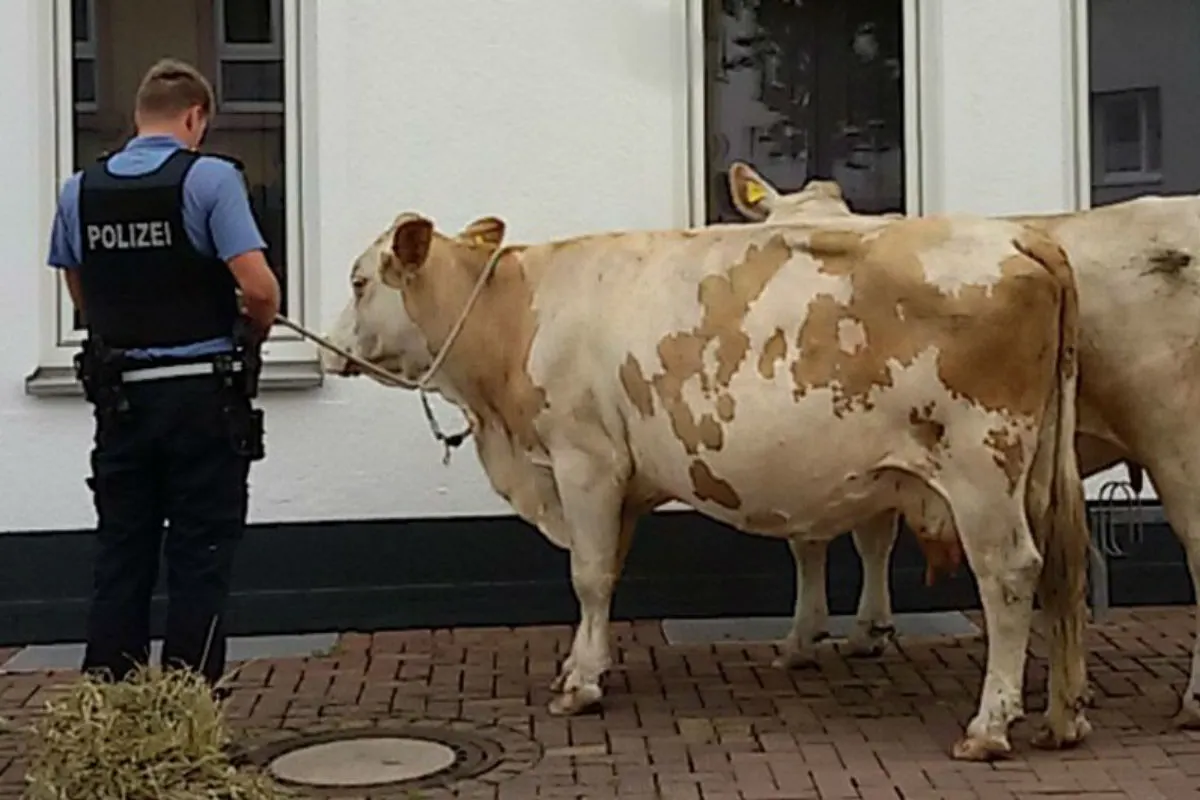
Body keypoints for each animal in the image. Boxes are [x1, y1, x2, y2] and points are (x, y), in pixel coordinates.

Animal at [320, 207, 1093, 760]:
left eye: (358, 282)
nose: (328, 351)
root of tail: (1020, 236)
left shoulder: (584, 459)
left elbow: (589, 575)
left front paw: (580, 687)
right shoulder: (623, 479)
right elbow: (609, 572)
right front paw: (587, 664)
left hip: (981, 468)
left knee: (1010, 574)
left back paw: (990, 726)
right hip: (1034, 474)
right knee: (1060, 570)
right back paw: (1063, 717)